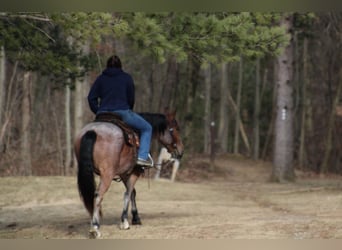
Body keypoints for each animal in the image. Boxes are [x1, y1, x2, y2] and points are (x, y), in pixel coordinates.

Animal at [73, 110, 183, 238]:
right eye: (175, 129)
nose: (181, 150)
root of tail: (92, 131)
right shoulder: (134, 172)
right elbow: (128, 193)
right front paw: (125, 221)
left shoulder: (124, 174)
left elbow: (132, 193)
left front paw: (135, 217)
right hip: (107, 175)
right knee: (98, 195)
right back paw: (95, 227)